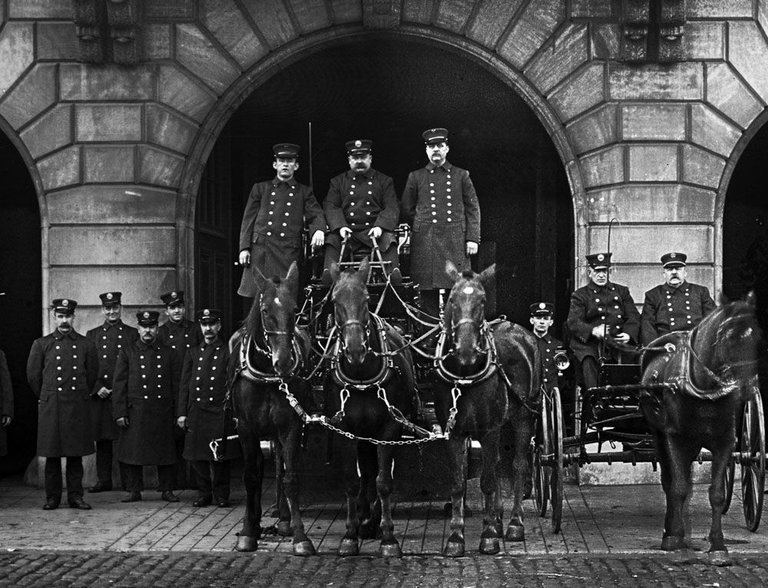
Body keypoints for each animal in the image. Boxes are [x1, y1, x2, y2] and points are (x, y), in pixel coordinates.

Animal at [228, 262, 316, 556]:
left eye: (294, 309)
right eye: (265, 310)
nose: (285, 362)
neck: (267, 375)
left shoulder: (290, 426)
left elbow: (290, 478)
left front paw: (300, 535)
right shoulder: (246, 428)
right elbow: (250, 476)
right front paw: (248, 531)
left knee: (278, 466)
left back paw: (284, 519)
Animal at [326, 258, 420, 556]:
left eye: (367, 299)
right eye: (335, 300)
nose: (355, 350)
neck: (361, 375)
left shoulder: (389, 428)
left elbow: (384, 481)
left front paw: (388, 537)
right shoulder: (344, 428)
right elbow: (352, 480)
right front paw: (350, 534)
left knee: (377, 472)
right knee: (366, 472)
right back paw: (365, 520)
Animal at [438, 262, 540, 556]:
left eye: (482, 301)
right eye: (451, 299)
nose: (466, 350)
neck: (465, 376)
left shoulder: (489, 430)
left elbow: (487, 481)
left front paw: (488, 537)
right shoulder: (454, 432)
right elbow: (458, 483)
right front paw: (456, 537)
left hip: (523, 416)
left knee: (517, 465)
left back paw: (514, 523)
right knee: (495, 464)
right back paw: (497, 518)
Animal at [640, 298, 760, 560]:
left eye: (758, 337)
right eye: (728, 337)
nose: (748, 387)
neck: (704, 390)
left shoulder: (725, 441)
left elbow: (716, 493)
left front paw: (718, 546)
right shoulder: (675, 438)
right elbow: (678, 488)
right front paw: (676, 541)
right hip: (659, 436)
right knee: (669, 482)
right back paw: (671, 533)